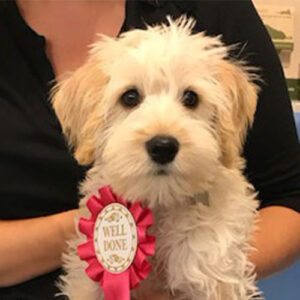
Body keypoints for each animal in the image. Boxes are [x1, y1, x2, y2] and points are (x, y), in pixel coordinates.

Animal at [53, 17, 262, 300]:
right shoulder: (88, 282)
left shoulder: (214, 276)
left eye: (191, 97)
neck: (161, 202)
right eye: (130, 97)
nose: (163, 146)